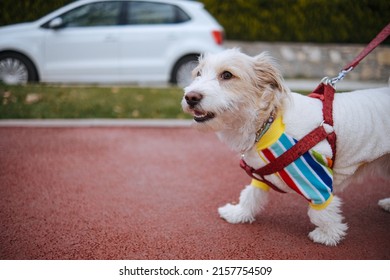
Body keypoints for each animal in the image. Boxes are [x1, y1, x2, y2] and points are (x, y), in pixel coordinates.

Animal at [182, 49, 390, 246]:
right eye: (198, 73)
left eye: (227, 75)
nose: (190, 97)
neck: (267, 121)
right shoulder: (261, 172)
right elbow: (251, 194)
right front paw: (239, 213)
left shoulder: (315, 178)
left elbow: (322, 211)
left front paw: (329, 235)